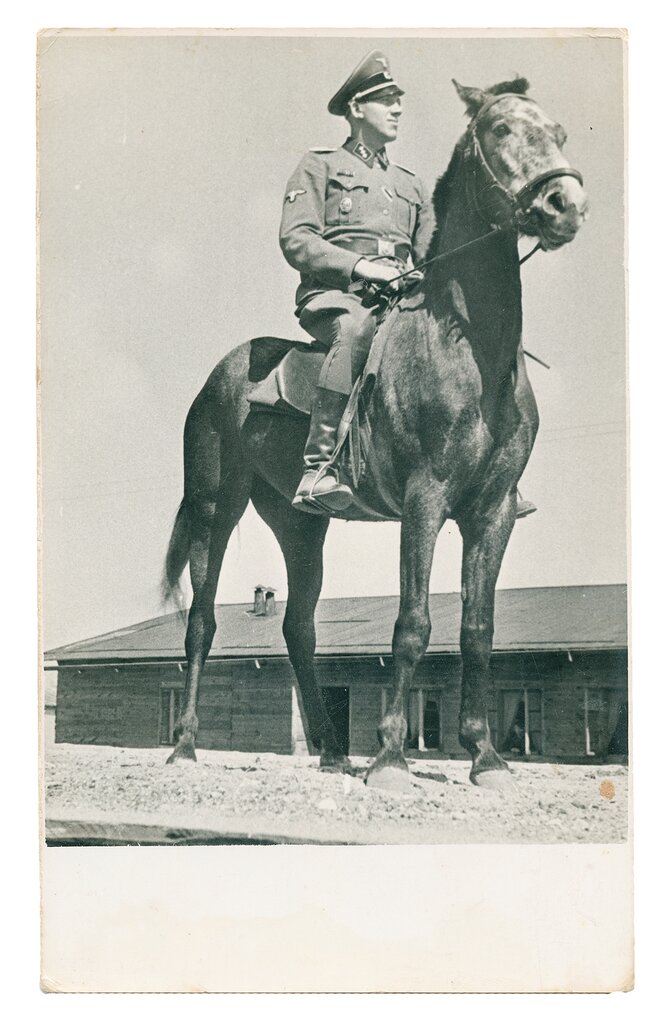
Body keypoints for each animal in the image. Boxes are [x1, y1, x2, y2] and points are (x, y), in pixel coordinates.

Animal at [161, 81, 589, 793]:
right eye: (501, 129)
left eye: (556, 132)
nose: (567, 205)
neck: (470, 350)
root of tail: (219, 374)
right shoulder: (425, 500)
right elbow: (413, 622)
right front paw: (391, 756)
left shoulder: (492, 510)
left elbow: (477, 627)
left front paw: (485, 757)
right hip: (214, 508)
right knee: (201, 621)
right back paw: (186, 748)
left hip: (300, 524)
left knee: (299, 627)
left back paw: (333, 749)